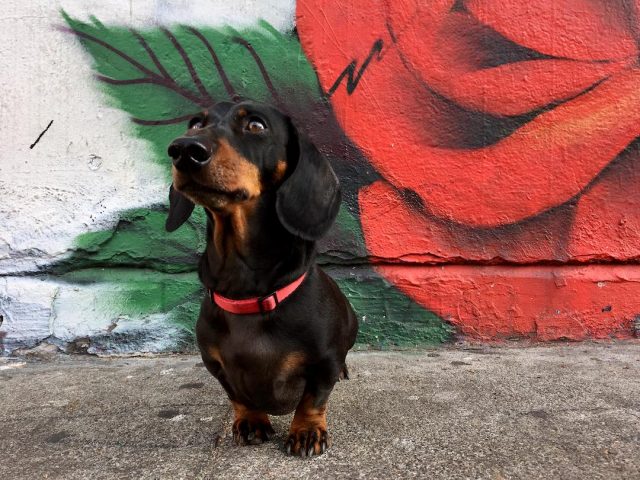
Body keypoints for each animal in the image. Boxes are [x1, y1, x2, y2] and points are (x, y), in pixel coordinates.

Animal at [166, 100, 360, 454]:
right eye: (195, 123)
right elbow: (237, 397)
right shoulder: (215, 364)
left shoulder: (324, 362)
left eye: (256, 125)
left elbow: (313, 398)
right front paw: (251, 421)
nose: (184, 149)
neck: (247, 292)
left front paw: (306, 431)